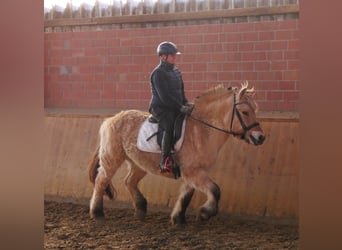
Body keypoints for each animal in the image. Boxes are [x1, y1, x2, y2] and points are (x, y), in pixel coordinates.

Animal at [87, 81, 264, 225]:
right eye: (245, 112)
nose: (260, 137)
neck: (202, 130)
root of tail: (111, 119)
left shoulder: (195, 172)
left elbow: (186, 195)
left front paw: (178, 219)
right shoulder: (192, 171)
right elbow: (215, 190)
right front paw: (205, 213)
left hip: (139, 163)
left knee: (129, 181)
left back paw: (141, 210)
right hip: (112, 158)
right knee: (102, 180)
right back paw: (97, 213)